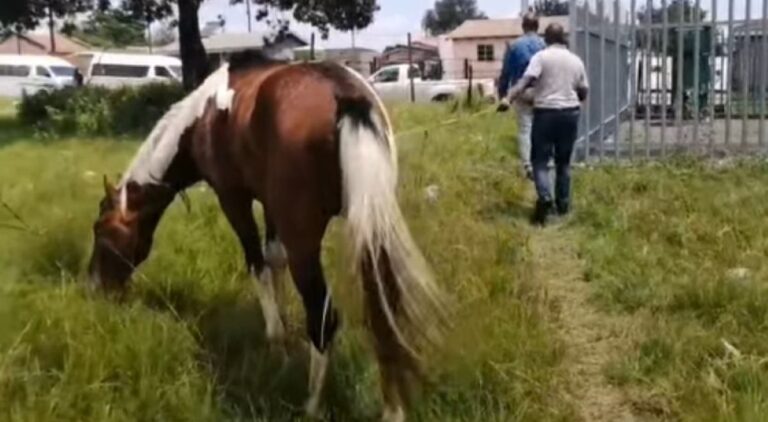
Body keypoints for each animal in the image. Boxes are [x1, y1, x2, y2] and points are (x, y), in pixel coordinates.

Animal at [87, 52, 446, 421]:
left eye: (100, 230)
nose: (95, 285)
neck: (202, 117)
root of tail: (345, 96)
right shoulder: (271, 204)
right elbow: (274, 259)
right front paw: (284, 333)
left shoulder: (233, 198)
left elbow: (257, 263)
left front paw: (275, 338)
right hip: (372, 225)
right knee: (384, 312)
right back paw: (393, 408)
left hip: (305, 238)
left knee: (323, 318)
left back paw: (312, 405)